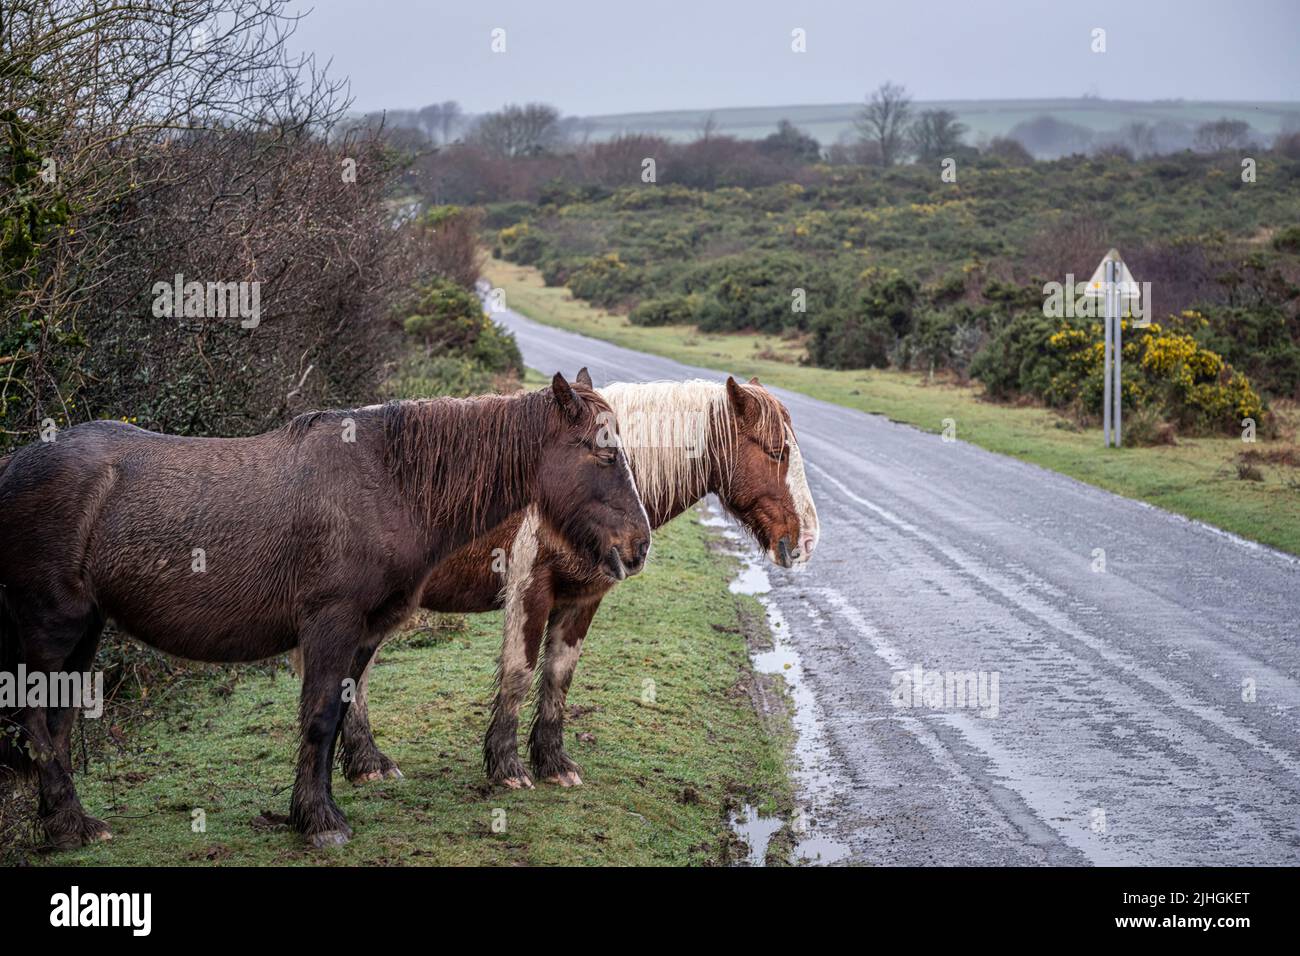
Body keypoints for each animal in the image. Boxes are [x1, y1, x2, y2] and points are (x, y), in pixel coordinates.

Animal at [0, 371, 650, 842]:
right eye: (602, 453)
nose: (638, 546)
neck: (389, 482)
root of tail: (13, 467)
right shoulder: (331, 625)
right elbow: (317, 718)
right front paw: (319, 822)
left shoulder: (362, 633)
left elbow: (337, 715)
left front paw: (316, 806)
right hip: (52, 627)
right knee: (35, 719)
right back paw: (71, 824)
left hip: (85, 632)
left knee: (56, 722)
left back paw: (62, 822)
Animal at [338, 369, 821, 790]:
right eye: (776, 451)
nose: (807, 539)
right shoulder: (530, 590)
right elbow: (519, 672)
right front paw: (507, 767)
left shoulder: (583, 598)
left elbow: (558, 675)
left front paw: (553, 763)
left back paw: (367, 761)